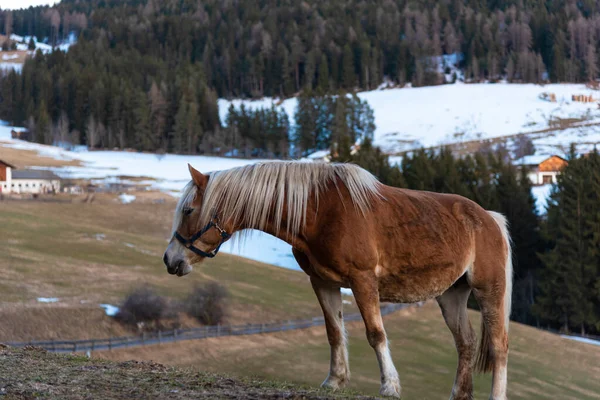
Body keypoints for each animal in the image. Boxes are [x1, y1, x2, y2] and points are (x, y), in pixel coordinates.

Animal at [163, 161, 510, 398]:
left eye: (189, 209)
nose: (170, 259)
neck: (318, 211)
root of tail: (489, 218)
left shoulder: (362, 280)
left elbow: (376, 334)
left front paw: (390, 385)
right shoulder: (323, 282)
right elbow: (333, 332)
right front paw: (335, 380)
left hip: (488, 290)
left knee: (498, 347)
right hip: (451, 295)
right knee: (465, 343)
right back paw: (459, 394)